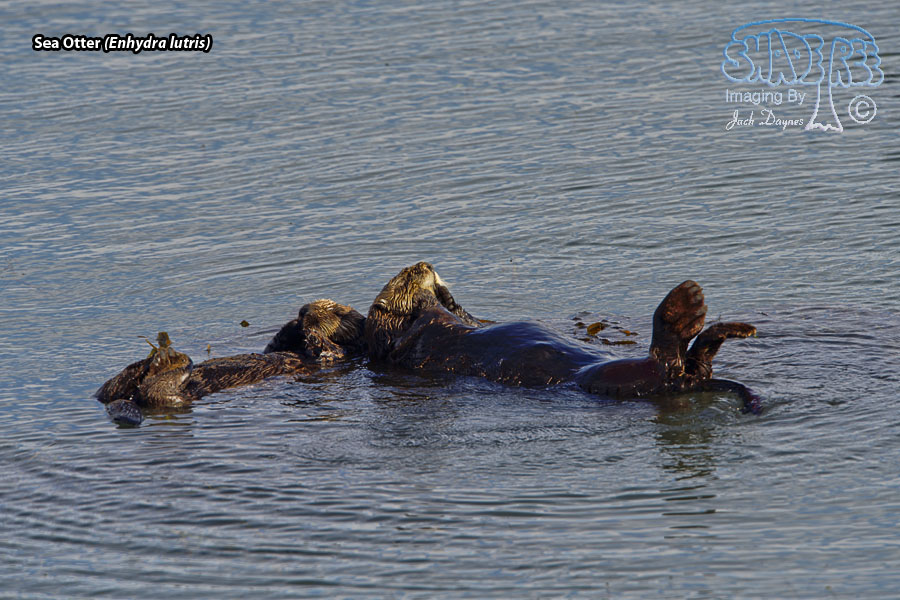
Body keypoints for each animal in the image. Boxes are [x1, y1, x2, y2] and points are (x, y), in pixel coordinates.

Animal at [96, 299, 366, 425]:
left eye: (337, 313)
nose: (304, 310)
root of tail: (134, 399)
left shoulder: (344, 354)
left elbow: (328, 350)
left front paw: (311, 331)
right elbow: (273, 345)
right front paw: (294, 324)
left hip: (171, 398)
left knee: (157, 392)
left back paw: (177, 361)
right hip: (117, 391)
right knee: (108, 389)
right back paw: (151, 360)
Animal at [365, 262, 762, 413]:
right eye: (405, 274)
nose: (426, 266)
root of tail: (687, 383)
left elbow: (463, 315)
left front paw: (446, 293)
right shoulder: (409, 340)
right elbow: (417, 324)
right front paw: (423, 296)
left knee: (695, 359)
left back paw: (733, 328)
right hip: (624, 379)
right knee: (668, 359)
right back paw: (686, 304)